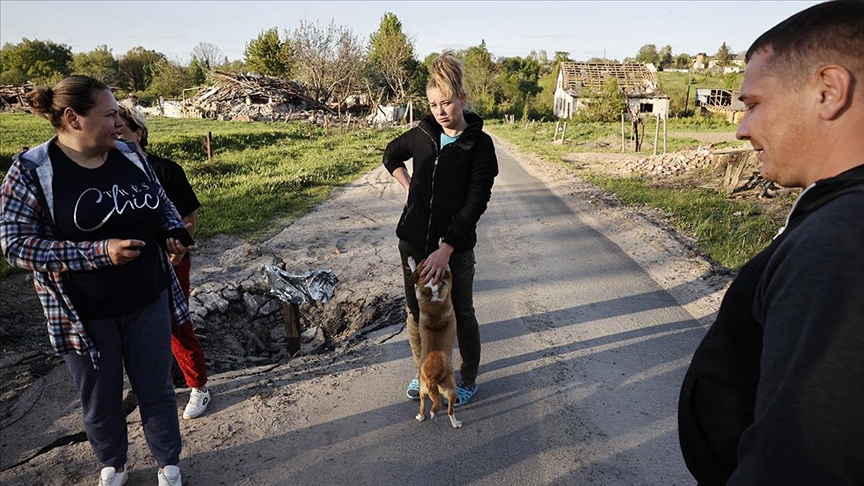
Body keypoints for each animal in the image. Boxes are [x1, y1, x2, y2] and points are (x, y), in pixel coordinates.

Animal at [408, 256, 462, 428]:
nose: (425, 257)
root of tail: (432, 379)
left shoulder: (421, 289)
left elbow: (415, 279)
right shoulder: (447, 280)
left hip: (426, 391)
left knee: (426, 406)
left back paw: (423, 417)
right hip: (446, 390)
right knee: (447, 410)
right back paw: (454, 423)